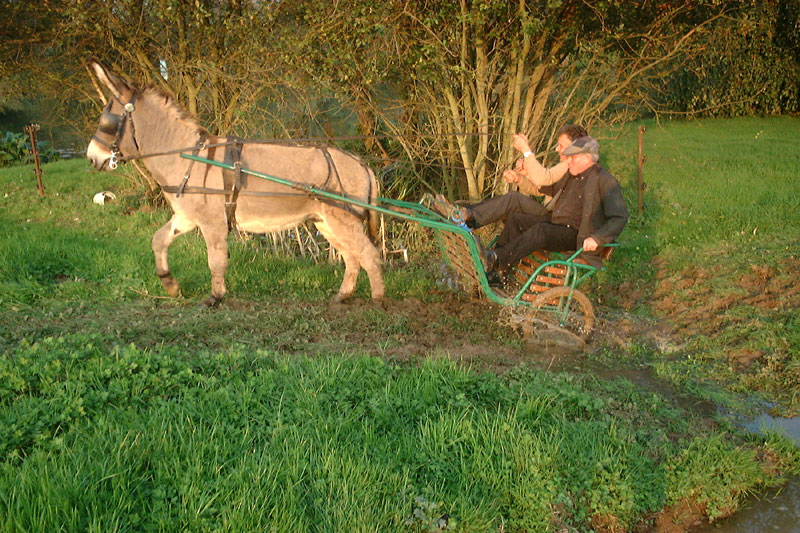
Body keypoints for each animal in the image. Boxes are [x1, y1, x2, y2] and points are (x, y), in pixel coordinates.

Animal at [86, 60, 384, 307]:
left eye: (106, 121)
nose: (91, 157)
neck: (186, 156)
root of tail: (362, 164)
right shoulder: (186, 217)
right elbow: (158, 240)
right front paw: (170, 285)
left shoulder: (212, 222)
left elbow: (215, 260)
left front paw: (215, 297)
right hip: (326, 222)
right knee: (352, 257)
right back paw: (342, 296)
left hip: (342, 220)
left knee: (369, 255)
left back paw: (379, 302)